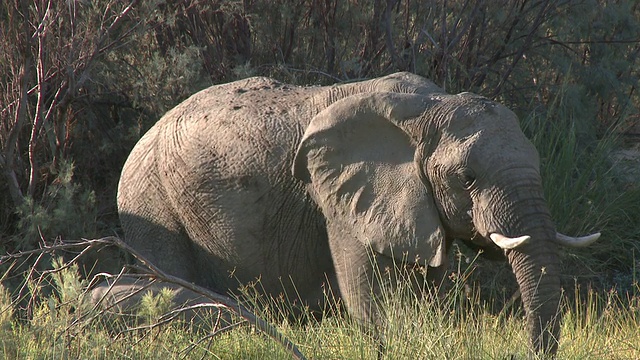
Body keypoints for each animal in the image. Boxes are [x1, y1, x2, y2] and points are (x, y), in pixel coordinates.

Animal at [109, 72, 600, 354]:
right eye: (467, 178)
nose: (525, 350)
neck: (427, 109)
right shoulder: (342, 202)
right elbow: (370, 300)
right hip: (150, 202)